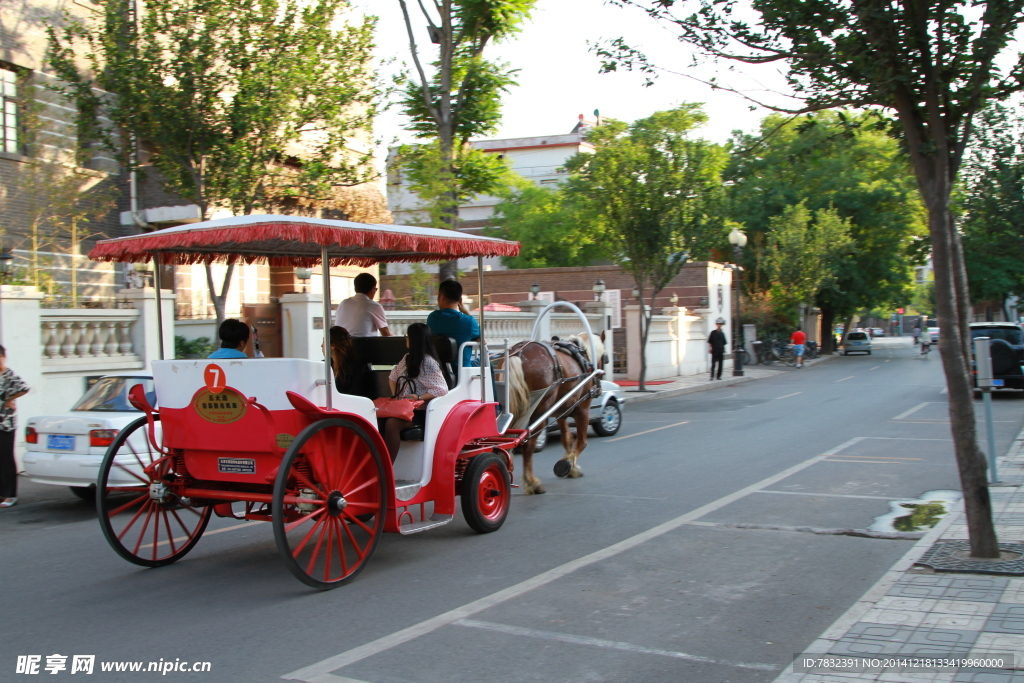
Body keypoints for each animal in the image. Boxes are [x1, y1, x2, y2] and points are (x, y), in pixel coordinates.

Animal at [499, 329, 602, 493]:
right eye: (605, 359)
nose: (599, 389)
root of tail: (518, 353)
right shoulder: (583, 409)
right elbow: (582, 441)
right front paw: (567, 464)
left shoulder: (561, 412)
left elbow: (566, 438)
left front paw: (572, 467)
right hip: (539, 413)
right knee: (528, 444)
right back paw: (532, 482)